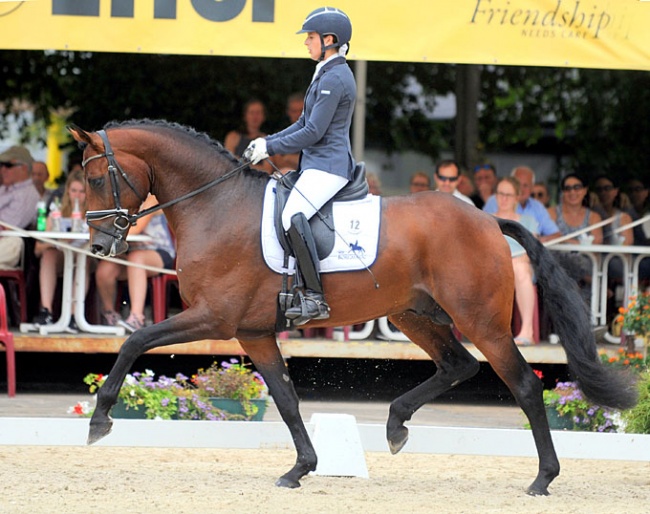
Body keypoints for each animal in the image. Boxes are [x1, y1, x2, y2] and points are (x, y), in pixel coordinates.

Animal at [67, 119, 632, 492]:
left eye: (95, 179)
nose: (98, 245)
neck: (215, 205)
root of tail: (488, 220)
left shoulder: (214, 317)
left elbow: (135, 340)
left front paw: (99, 421)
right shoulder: (253, 332)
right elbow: (286, 399)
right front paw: (300, 469)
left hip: (482, 321)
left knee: (525, 385)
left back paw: (542, 478)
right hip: (414, 314)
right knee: (458, 365)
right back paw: (396, 426)